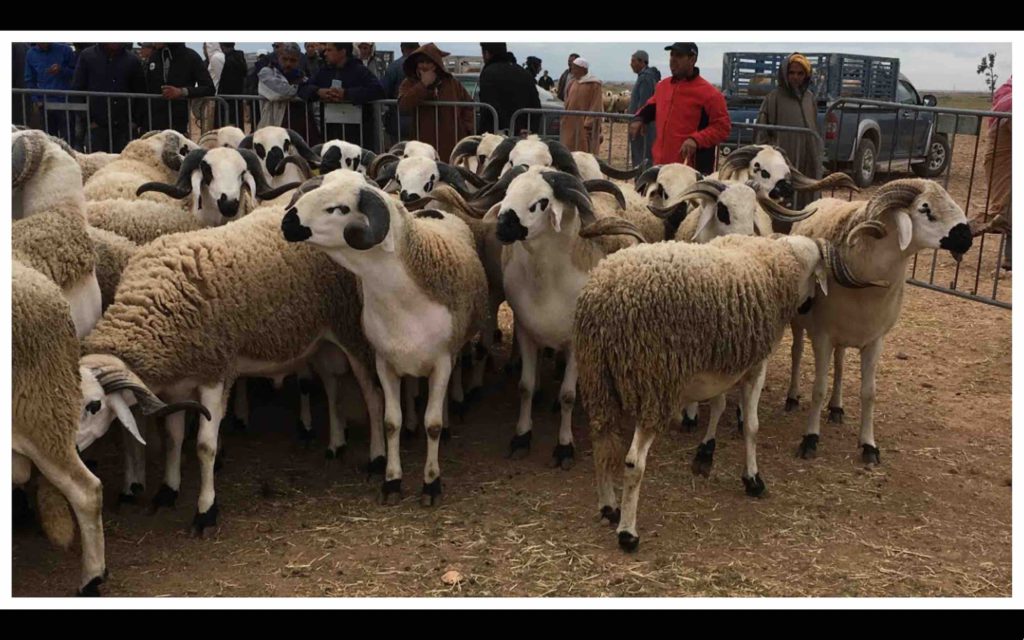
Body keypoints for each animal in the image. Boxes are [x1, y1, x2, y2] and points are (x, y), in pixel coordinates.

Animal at [80, 198, 385, 533]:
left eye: (93, 406)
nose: (74, 453)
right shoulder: (176, 385)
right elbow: (174, 438)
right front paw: (167, 491)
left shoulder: (216, 373)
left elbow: (205, 446)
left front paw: (205, 510)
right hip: (319, 338)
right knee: (332, 386)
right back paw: (336, 443)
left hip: (349, 329)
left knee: (372, 396)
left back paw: (377, 459)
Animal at [281, 170, 489, 506]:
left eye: (339, 208)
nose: (288, 222)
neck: (402, 300)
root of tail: (432, 210)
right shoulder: (384, 362)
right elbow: (391, 422)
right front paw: (391, 481)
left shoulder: (442, 362)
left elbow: (432, 423)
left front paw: (431, 483)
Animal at [574, 233, 837, 551]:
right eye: (816, 275)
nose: (810, 306)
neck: (776, 264)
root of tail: (604, 297)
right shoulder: (756, 366)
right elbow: (751, 427)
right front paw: (753, 479)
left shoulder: (721, 363)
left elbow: (719, 405)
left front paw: (705, 452)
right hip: (654, 383)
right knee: (633, 461)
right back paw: (627, 532)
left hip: (597, 378)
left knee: (602, 443)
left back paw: (608, 507)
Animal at [787, 179, 972, 464]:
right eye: (924, 208)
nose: (968, 238)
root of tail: (821, 199)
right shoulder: (822, 337)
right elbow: (818, 388)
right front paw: (810, 439)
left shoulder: (875, 341)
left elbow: (869, 393)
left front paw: (869, 446)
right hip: (800, 323)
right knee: (796, 353)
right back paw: (792, 397)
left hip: (845, 337)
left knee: (840, 364)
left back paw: (836, 407)